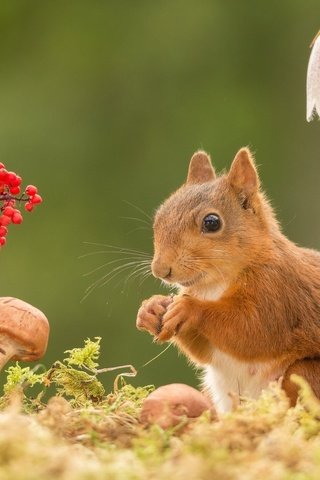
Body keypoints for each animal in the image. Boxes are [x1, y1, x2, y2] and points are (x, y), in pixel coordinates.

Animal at [136, 149, 320, 412]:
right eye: (159, 217)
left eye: (212, 222)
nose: (160, 269)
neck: (213, 286)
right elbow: (204, 352)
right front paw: (150, 309)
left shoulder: (277, 292)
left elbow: (252, 330)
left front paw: (189, 308)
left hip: (304, 374)